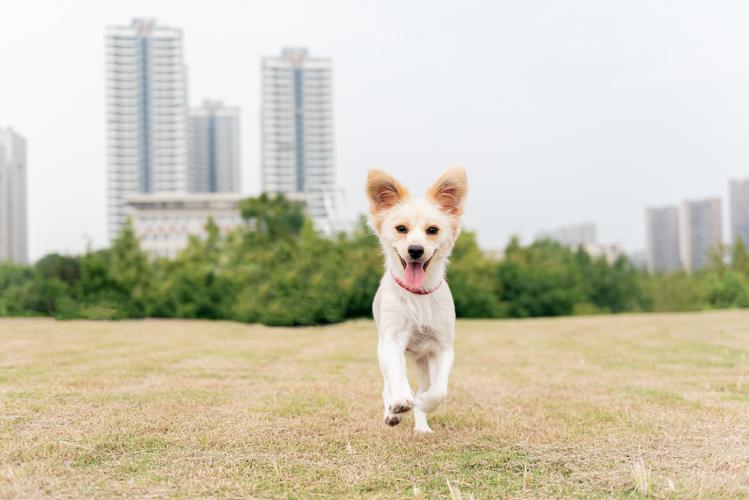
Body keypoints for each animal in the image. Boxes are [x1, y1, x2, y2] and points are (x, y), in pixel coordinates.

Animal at [364, 166, 464, 432]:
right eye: (401, 229)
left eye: (432, 230)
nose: (416, 250)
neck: (417, 294)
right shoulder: (392, 341)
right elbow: (397, 378)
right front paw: (399, 402)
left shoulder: (443, 347)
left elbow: (438, 390)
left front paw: (425, 402)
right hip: (381, 348)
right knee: (387, 383)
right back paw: (391, 412)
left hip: (422, 360)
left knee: (424, 385)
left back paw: (421, 425)